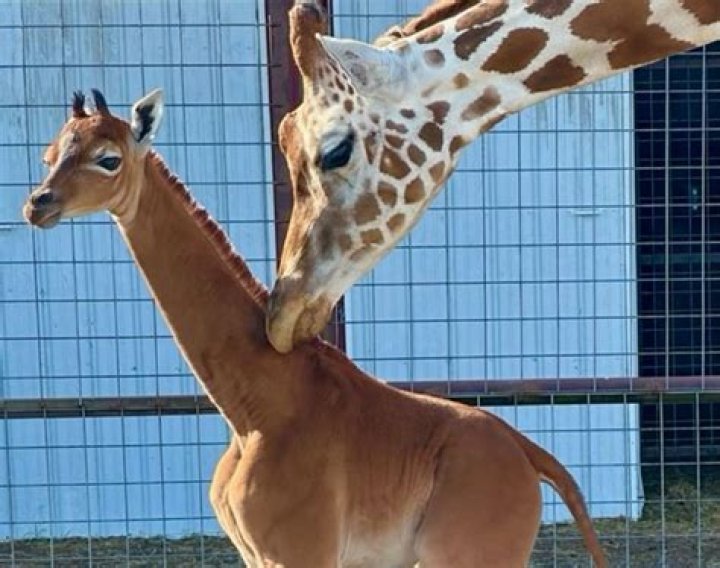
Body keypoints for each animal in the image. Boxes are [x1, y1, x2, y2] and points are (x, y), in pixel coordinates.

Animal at [23, 88, 607, 567]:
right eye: (49, 155)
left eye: (108, 159)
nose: (38, 204)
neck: (255, 406)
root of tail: (530, 456)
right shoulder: (259, 556)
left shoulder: (300, 551)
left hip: (467, 555)